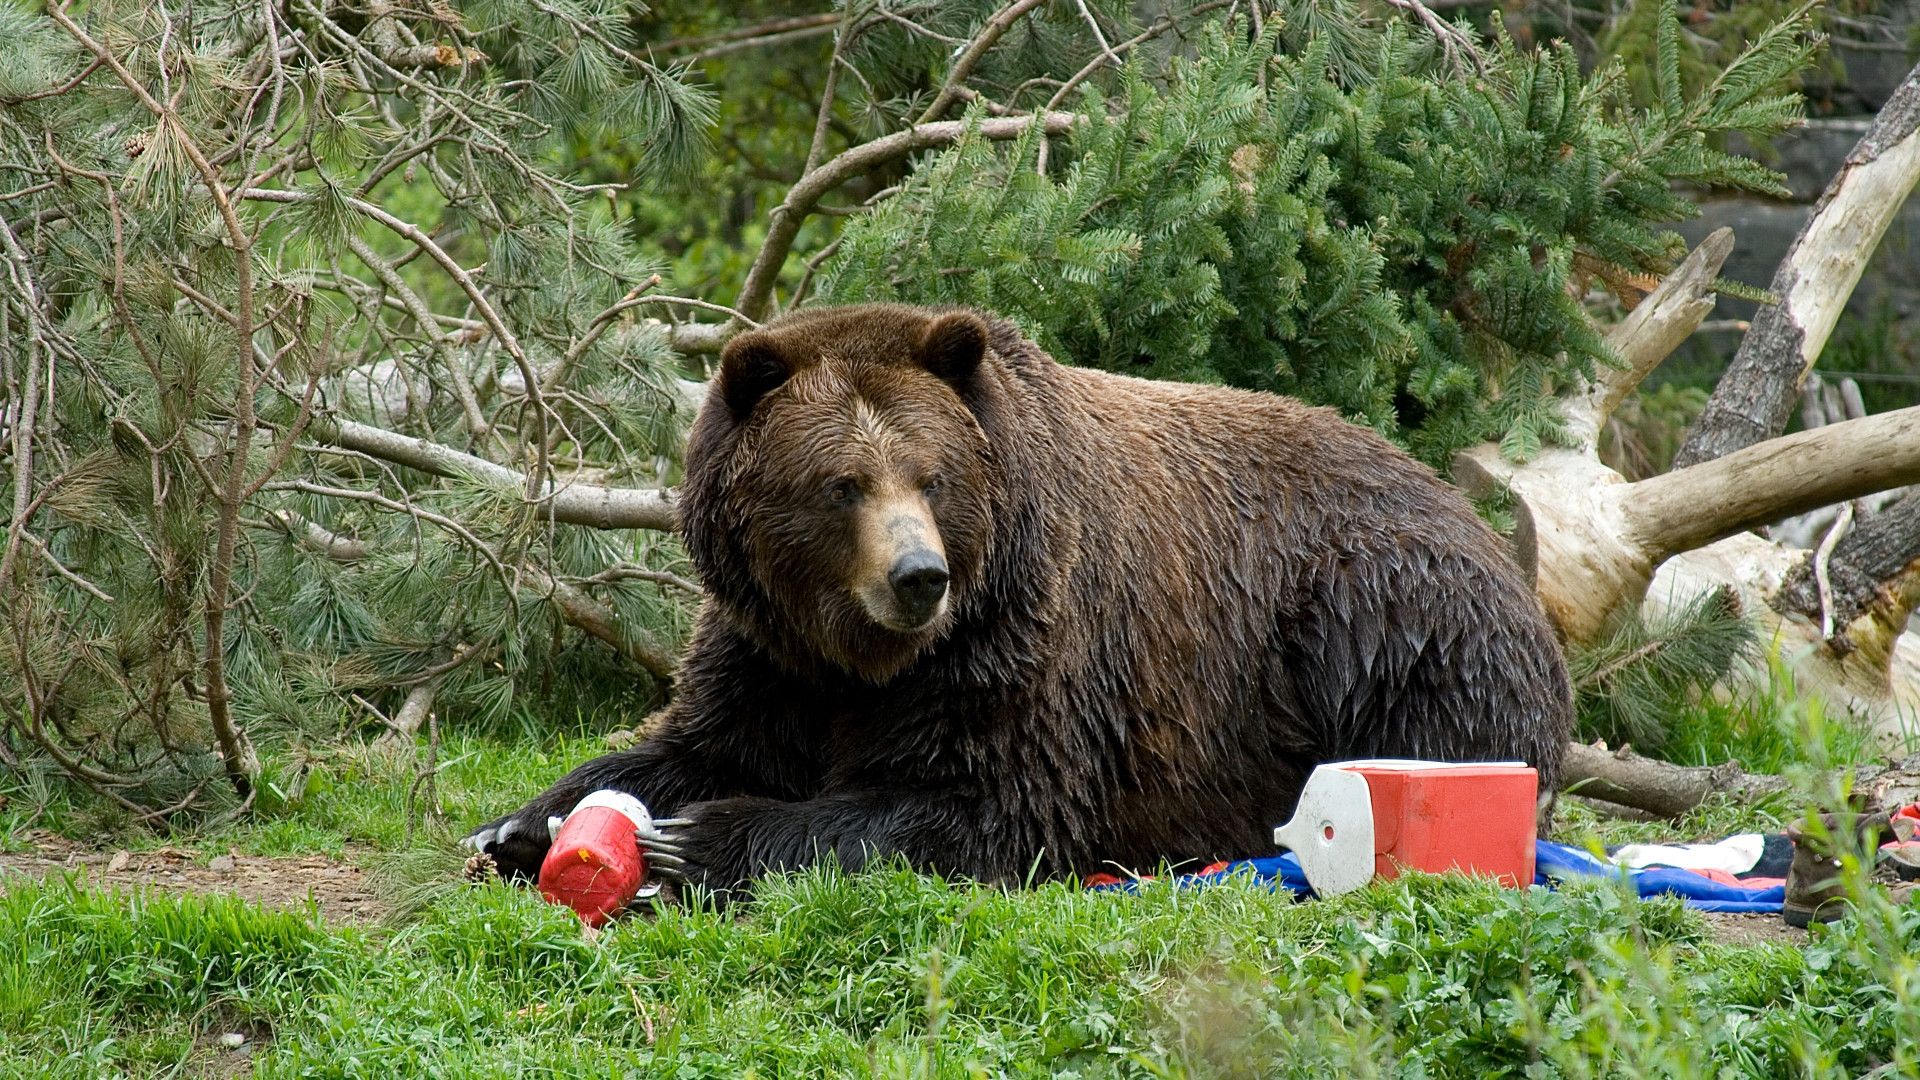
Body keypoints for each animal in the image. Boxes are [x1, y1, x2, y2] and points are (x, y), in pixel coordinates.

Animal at [468, 299, 1574, 891]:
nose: (918, 577)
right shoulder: (767, 647)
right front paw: (519, 826)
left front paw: (700, 840)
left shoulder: (1022, 639)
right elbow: (696, 739)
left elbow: (986, 802)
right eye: (841, 483)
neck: (864, 656)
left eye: (932, 476)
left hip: (1377, 614)